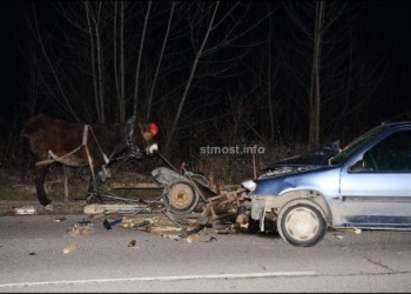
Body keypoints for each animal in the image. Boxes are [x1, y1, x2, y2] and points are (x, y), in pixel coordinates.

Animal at [20, 115, 160, 207]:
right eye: (145, 132)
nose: (155, 149)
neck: (114, 137)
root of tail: (32, 125)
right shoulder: (96, 162)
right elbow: (93, 181)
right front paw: (93, 199)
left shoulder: (97, 164)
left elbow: (94, 181)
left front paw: (91, 198)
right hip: (43, 157)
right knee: (38, 179)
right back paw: (45, 202)